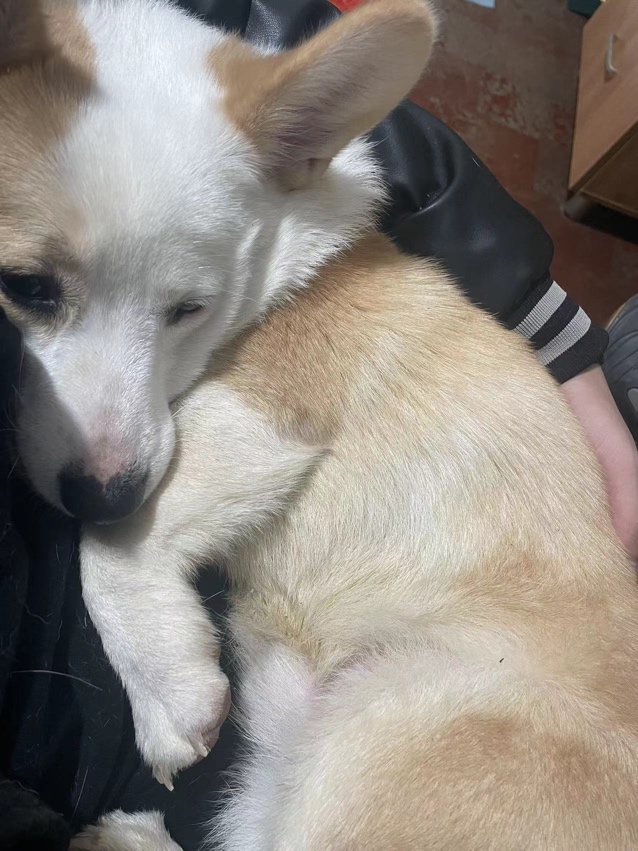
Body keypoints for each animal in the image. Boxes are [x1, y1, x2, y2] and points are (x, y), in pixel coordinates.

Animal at [3, 0, 638, 848]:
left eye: (191, 309)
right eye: (26, 286)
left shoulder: (265, 413)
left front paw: (167, 690)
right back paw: (125, 835)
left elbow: (111, 543)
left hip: (392, 724)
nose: (104, 489)